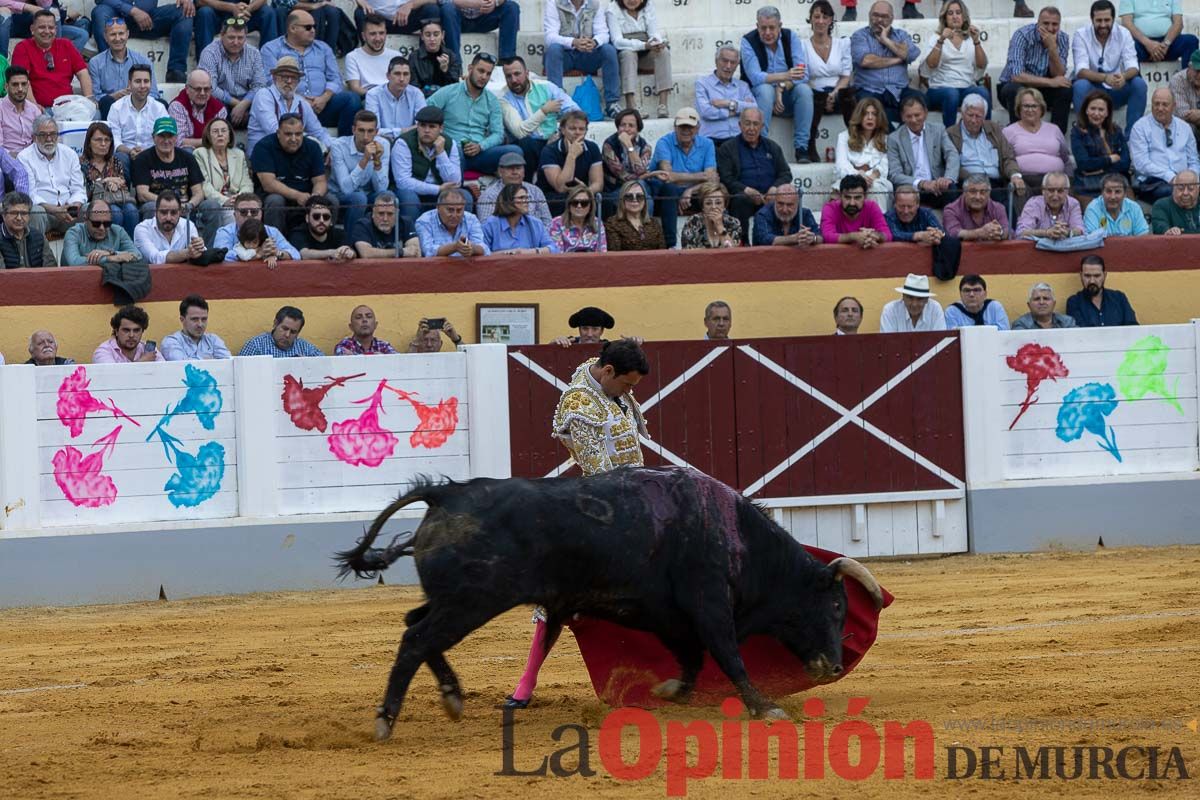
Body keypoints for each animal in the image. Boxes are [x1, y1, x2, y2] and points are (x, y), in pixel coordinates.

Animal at [336, 465, 883, 743]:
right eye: (837, 607)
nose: (835, 664)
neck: (739, 538)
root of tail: (446, 496)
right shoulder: (708, 604)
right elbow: (728, 654)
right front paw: (764, 707)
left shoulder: (669, 616)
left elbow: (692, 657)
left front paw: (671, 690)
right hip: (472, 600)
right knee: (416, 638)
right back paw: (387, 720)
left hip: (453, 599)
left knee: (415, 625)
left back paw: (452, 696)